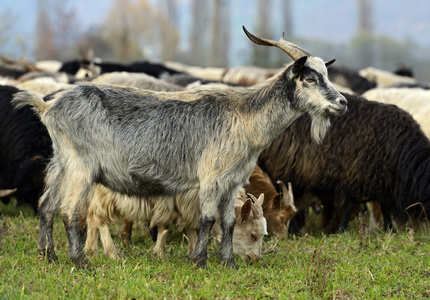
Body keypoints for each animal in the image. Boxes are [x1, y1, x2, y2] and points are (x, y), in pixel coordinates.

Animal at [11, 26, 348, 270]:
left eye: (326, 74)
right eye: (309, 77)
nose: (342, 102)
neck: (244, 116)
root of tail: (48, 105)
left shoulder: (233, 180)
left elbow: (228, 221)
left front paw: (228, 263)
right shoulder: (211, 176)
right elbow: (208, 219)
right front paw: (199, 260)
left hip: (61, 162)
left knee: (46, 205)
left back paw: (48, 256)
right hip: (81, 166)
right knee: (69, 209)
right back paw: (80, 262)